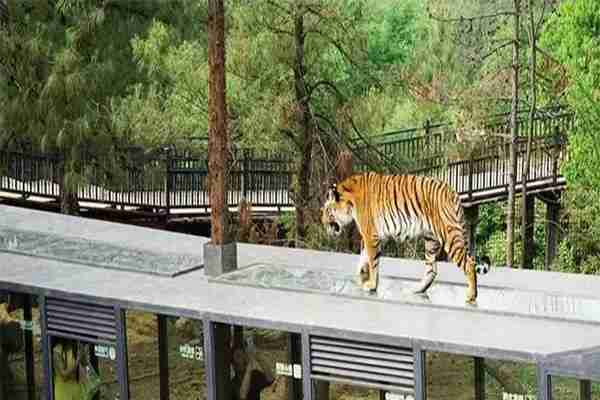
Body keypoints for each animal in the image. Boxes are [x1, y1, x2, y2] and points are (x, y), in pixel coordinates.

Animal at [322, 171, 490, 304]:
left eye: (326, 210)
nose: (322, 221)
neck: (349, 202)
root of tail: (453, 193)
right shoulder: (376, 236)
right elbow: (363, 258)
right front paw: (360, 276)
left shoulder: (371, 236)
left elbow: (373, 262)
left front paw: (371, 285)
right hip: (431, 241)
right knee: (432, 270)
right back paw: (417, 290)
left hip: (450, 236)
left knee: (469, 264)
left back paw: (471, 297)